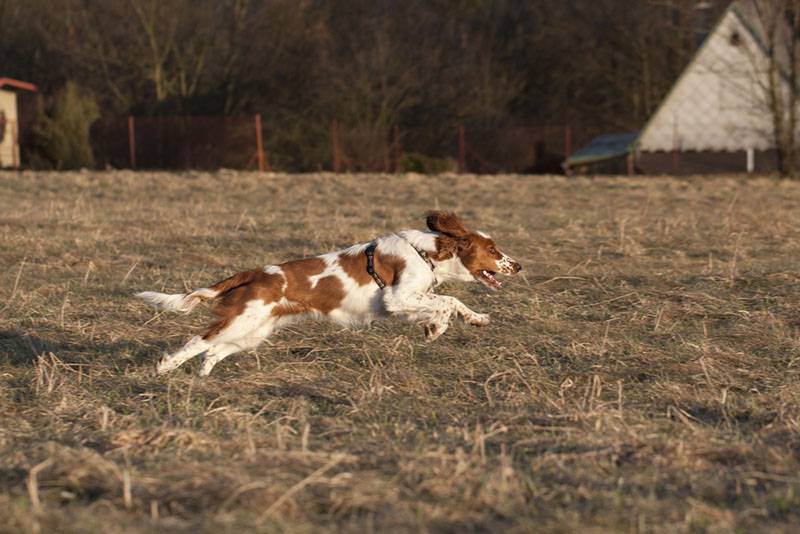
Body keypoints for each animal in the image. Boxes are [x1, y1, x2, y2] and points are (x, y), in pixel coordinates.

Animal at [134, 211, 520, 378]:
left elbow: (453, 304)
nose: (517, 266)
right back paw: (165, 367)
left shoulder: (405, 302)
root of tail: (254, 273)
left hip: (254, 331)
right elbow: (447, 302)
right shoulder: (396, 298)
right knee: (199, 341)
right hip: (242, 321)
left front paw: (474, 319)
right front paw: (437, 327)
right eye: (493, 250)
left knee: (213, 351)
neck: (427, 252)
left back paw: (202, 377)